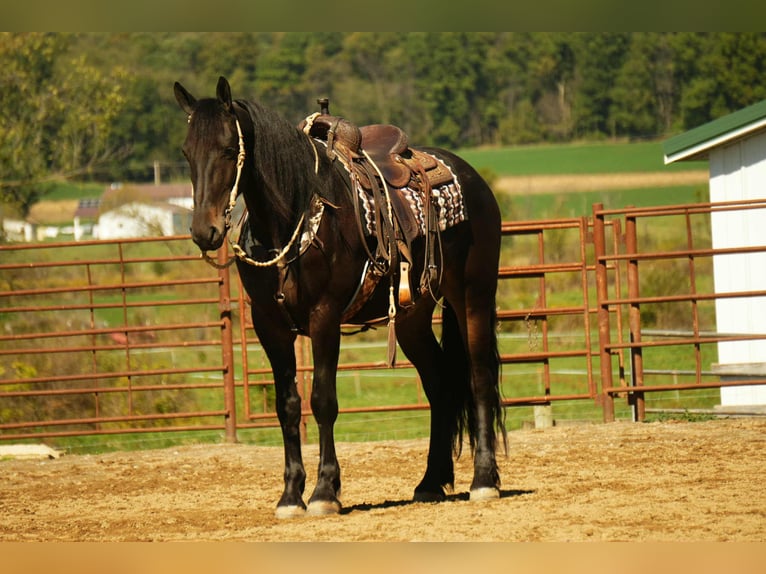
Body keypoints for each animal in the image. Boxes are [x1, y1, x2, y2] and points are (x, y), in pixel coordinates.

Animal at [174, 76, 505, 517]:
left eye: (230, 149)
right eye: (186, 152)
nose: (204, 231)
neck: (293, 215)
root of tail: (473, 179)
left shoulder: (324, 318)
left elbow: (322, 400)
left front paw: (324, 492)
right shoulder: (269, 325)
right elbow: (288, 406)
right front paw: (290, 496)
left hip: (473, 296)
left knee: (480, 376)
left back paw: (484, 480)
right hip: (413, 318)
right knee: (439, 384)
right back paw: (430, 482)